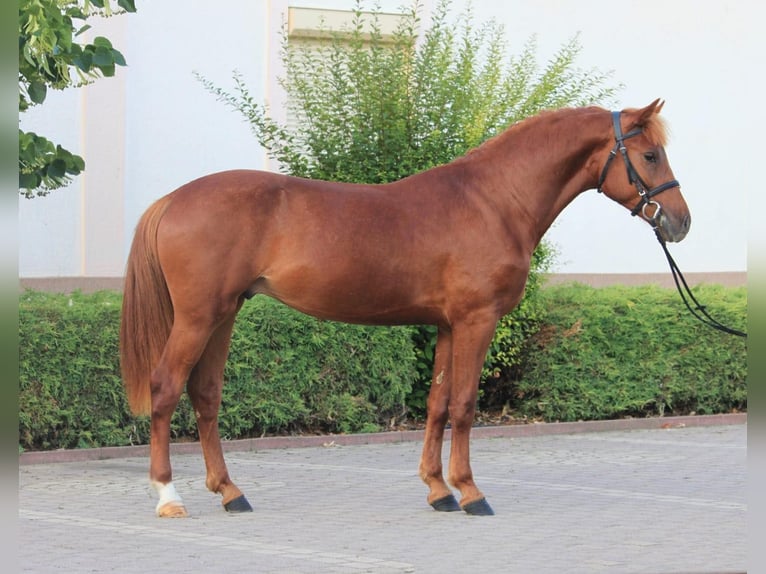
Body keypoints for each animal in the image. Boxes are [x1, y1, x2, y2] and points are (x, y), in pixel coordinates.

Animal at [120, 101, 688, 520]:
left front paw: (439, 491)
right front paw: (471, 493)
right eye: (651, 155)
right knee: (166, 389)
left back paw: (230, 492)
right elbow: (464, 405)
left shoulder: (447, 326)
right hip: (198, 318)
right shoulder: (477, 321)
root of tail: (171, 200)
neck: (494, 201)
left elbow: (437, 404)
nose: (680, 222)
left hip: (224, 315)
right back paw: (168, 497)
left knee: (205, 395)